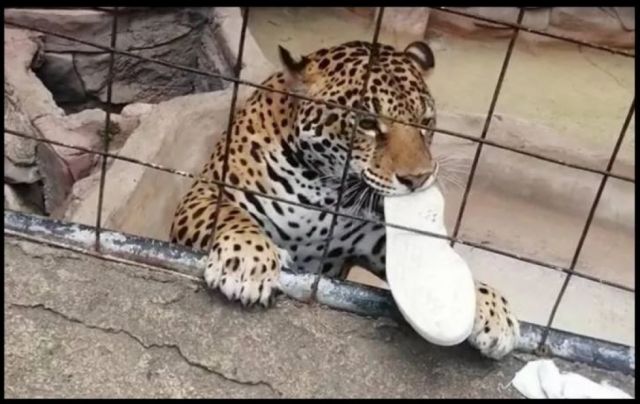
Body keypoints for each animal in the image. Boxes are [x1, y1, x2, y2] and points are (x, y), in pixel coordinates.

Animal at [169, 40, 520, 360]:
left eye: (426, 121)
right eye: (366, 124)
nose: (419, 178)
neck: (323, 188)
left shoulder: (374, 241)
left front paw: (490, 306)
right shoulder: (205, 193)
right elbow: (231, 216)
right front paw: (247, 263)